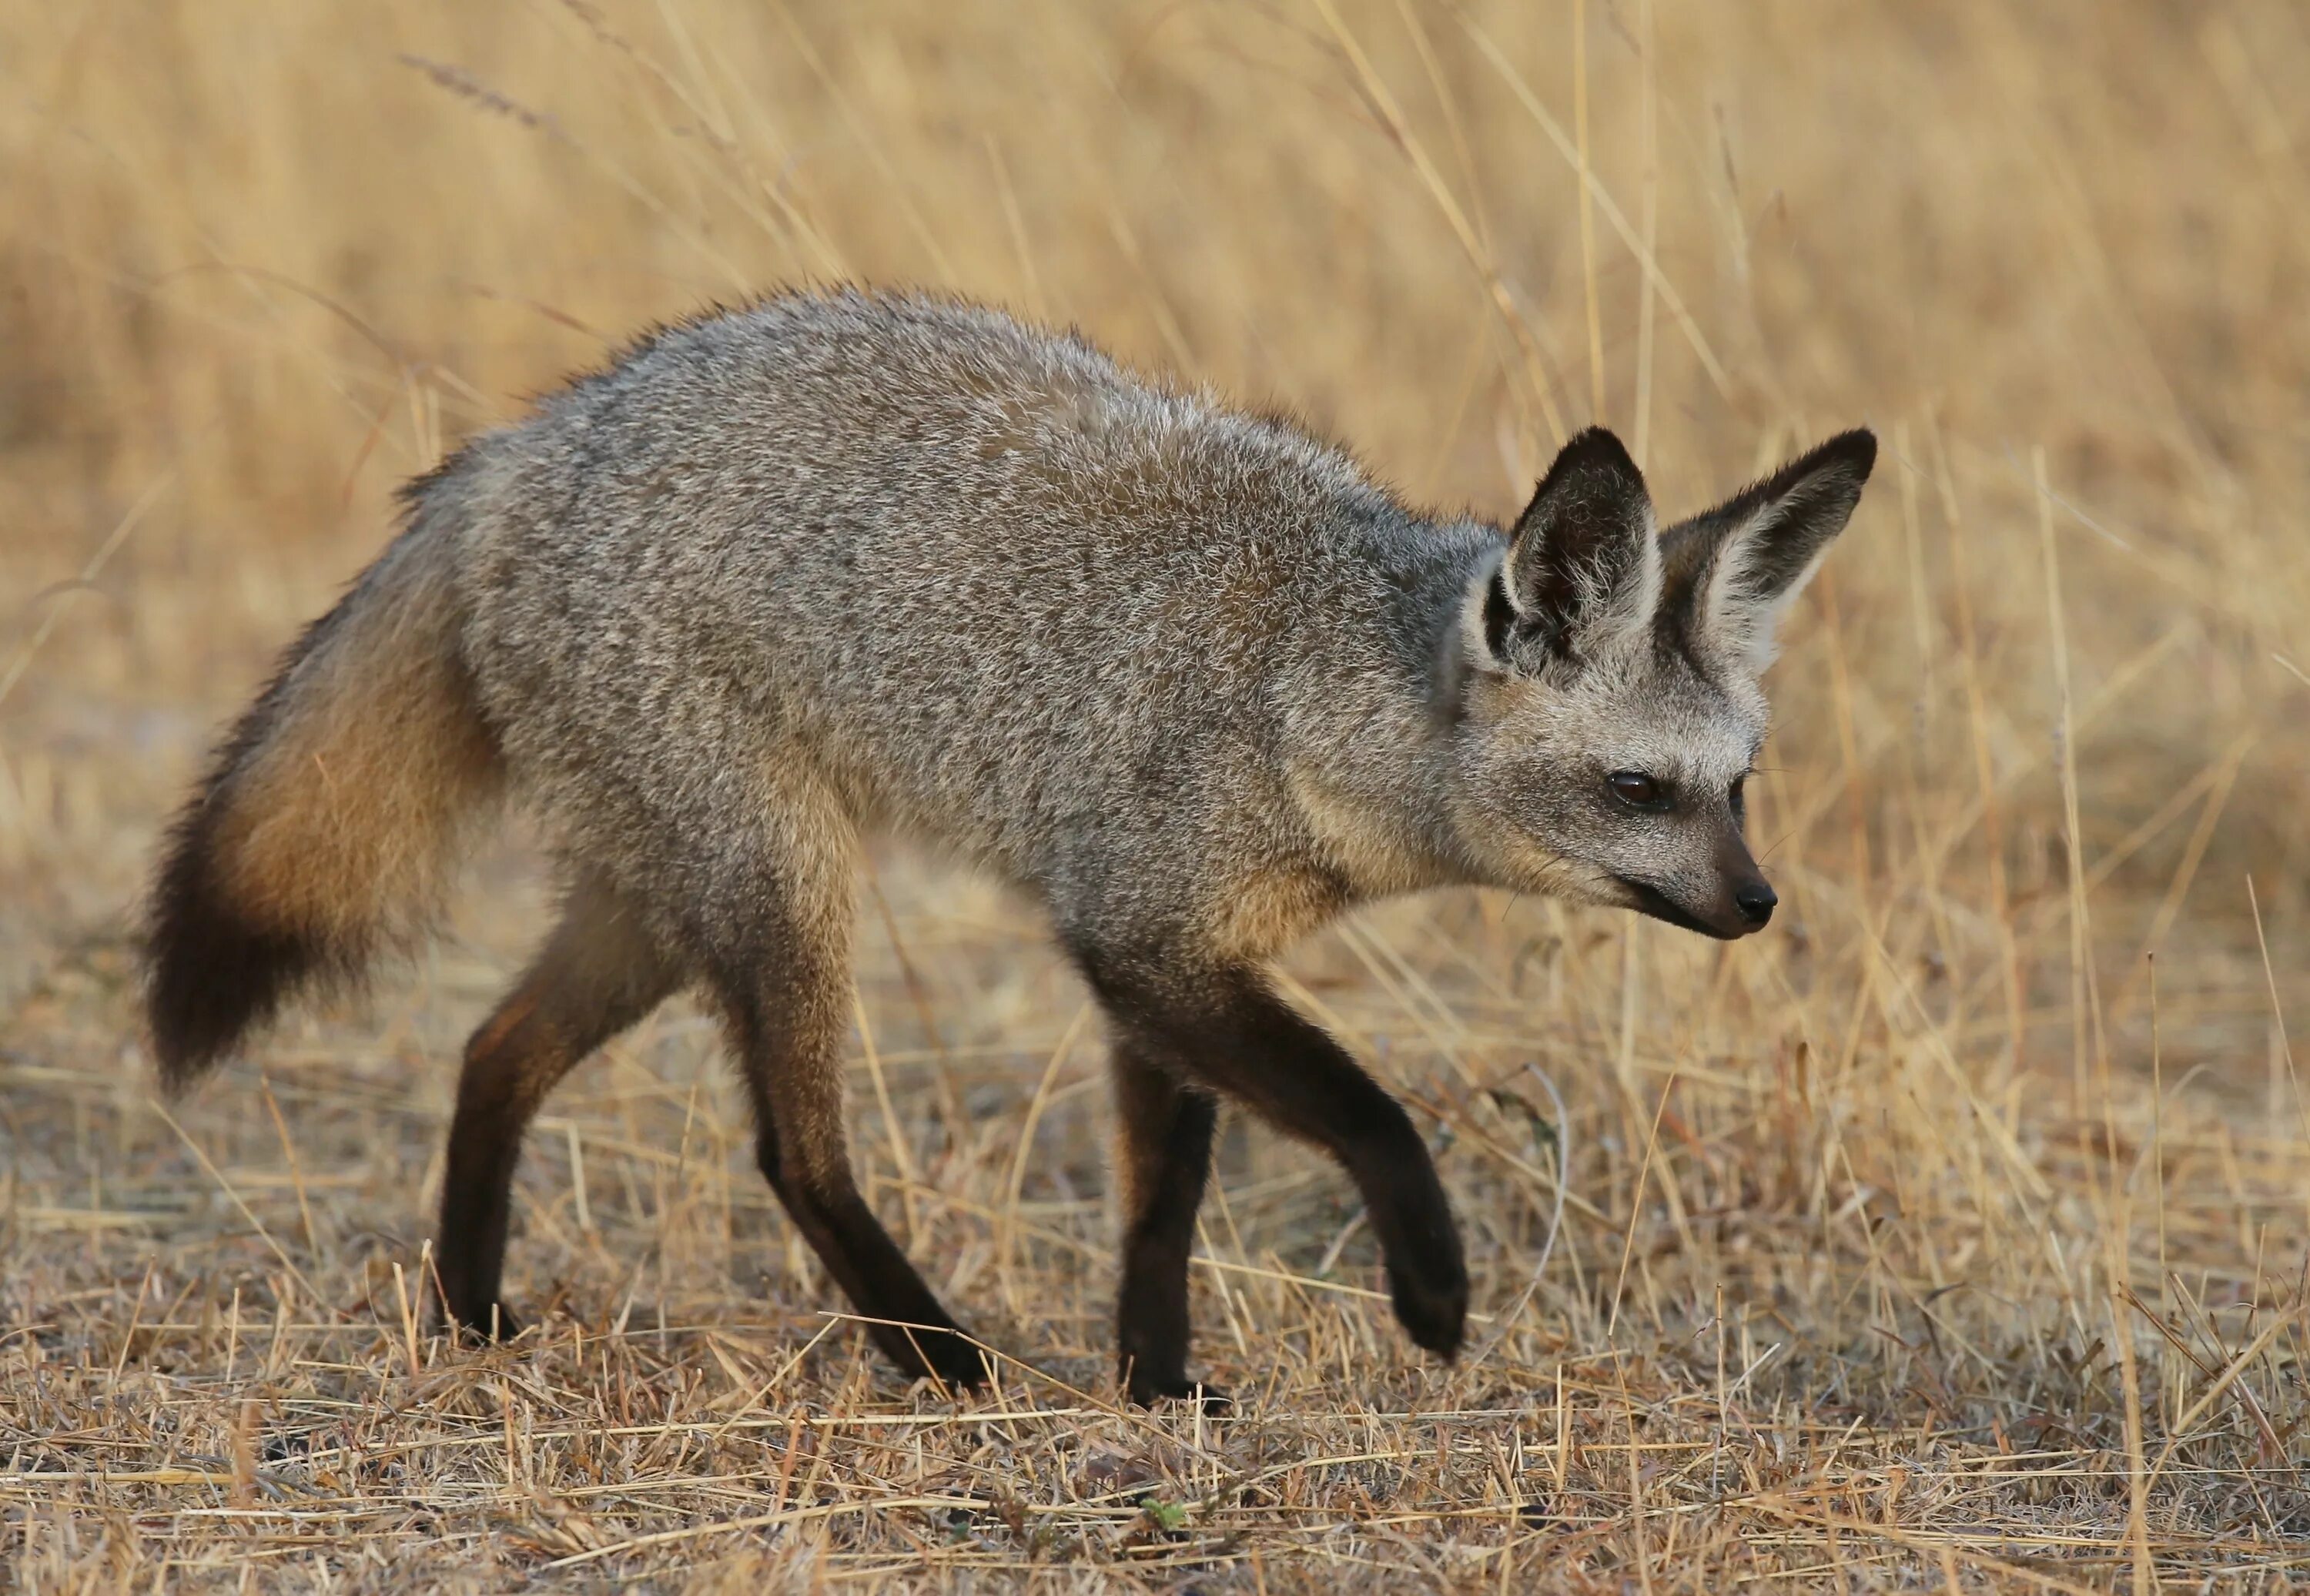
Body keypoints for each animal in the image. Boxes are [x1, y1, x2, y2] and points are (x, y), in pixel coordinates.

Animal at [144, 289, 1866, 1414]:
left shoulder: (1176, 961)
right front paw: (1431, 1290)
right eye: (1639, 789)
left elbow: (1165, 1199)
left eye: (1738, 788)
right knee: (790, 1149)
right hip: (777, 895)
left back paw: (470, 1313)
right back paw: (932, 1352)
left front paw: (1155, 1381)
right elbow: (1373, 1117)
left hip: (660, 902)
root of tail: (525, 440)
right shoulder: (1140, 934)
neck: (1304, 678)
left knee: (491, 1052)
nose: (1760, 904)